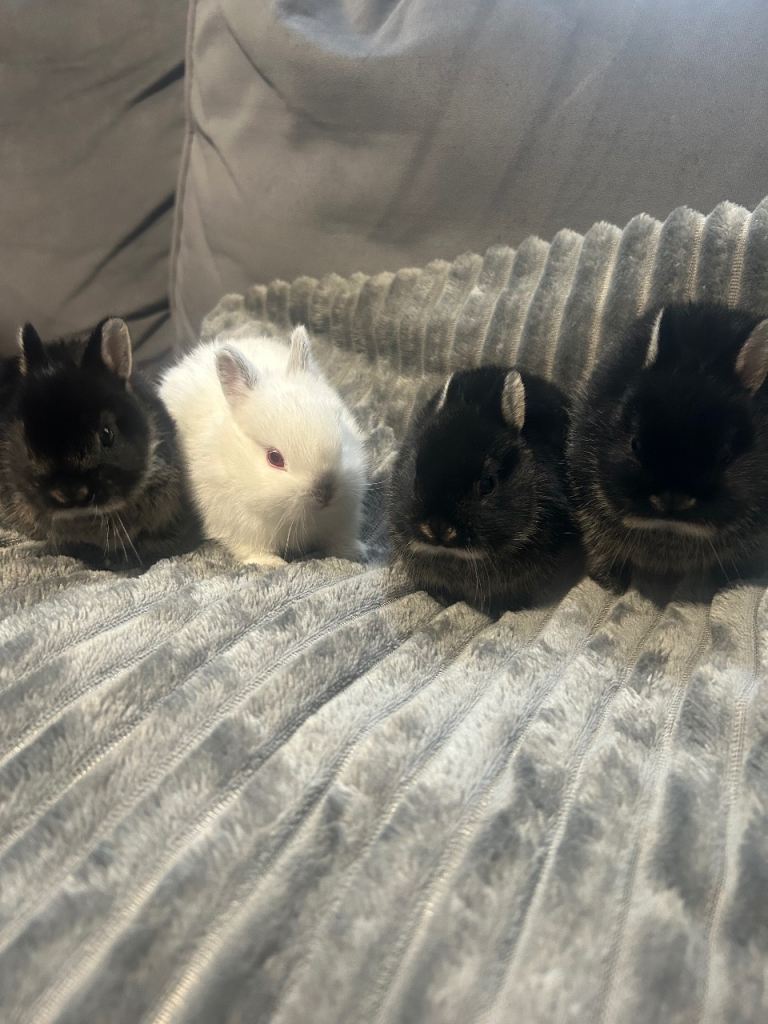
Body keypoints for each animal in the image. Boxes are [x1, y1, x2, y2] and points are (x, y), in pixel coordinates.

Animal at [159, 325, 367, 566]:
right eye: (274, 458)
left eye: (340, 429)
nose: (325, 490)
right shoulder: (241, 524)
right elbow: (253, 550)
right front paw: (271, 563)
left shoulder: (343, 517)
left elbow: (340, 539)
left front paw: (355, 552)